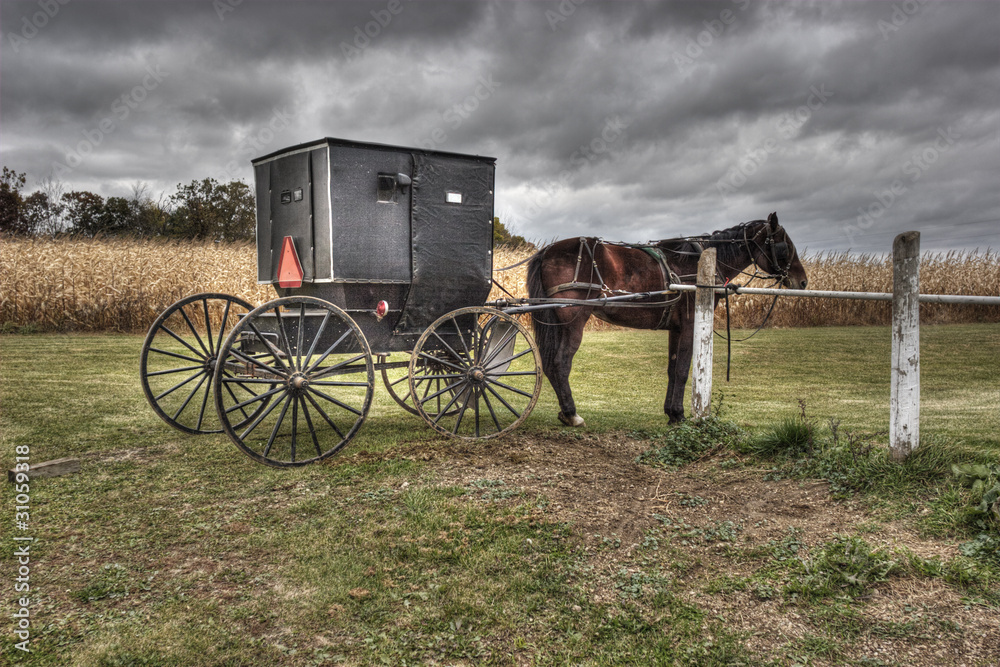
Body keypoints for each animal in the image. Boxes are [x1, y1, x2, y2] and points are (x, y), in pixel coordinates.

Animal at [528, 211, 808, 426]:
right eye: (784, 246)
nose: (803, 281)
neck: (699, 265)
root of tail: (547, 251)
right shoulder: (691, 324)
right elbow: (683, 370)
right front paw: (679, 415)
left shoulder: (676, 328)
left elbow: (673, 369)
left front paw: (671, 413)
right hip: (573, 320)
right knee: (560, 363)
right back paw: (571, 414)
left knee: (550, 364)